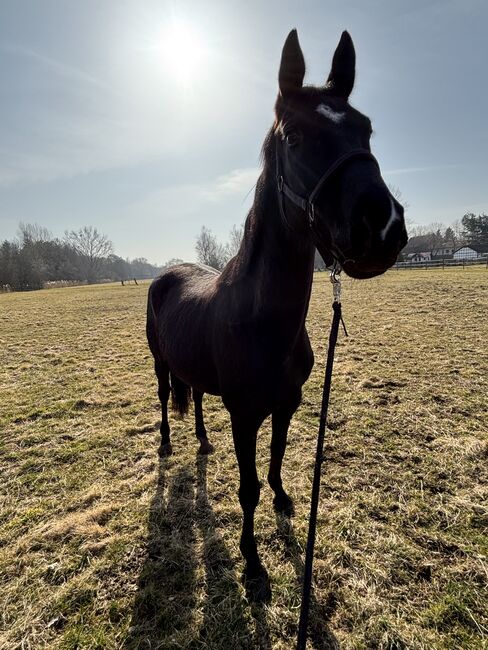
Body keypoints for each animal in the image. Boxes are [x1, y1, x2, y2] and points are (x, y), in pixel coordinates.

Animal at [148, 30, 408, 596]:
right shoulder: (245, 415)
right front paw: (252, 563)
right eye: (294, 137)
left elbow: (277, 458)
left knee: (196, 399)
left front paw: (285, 502)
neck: (264, 321)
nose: (381, 225)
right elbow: (247, 488)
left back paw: (202, 443)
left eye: (366, 129)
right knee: (163, 399)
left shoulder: (287, 403)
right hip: (159, 365)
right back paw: (166, 447)